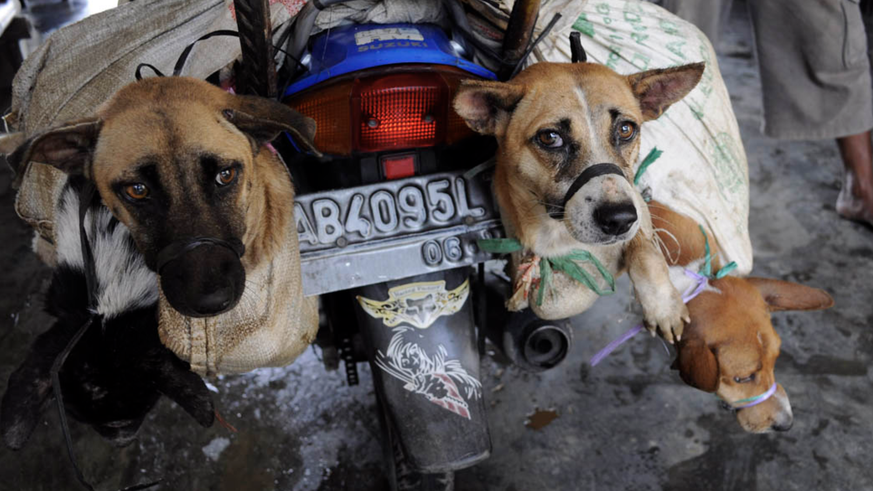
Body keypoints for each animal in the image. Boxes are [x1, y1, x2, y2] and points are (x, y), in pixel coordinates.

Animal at [454, 63, 704, 344]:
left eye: (626, 129)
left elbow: (646, 254)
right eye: (550, 137)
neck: (555, 231)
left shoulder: (636, 206)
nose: (620, 219)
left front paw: (663, 308)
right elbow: (548, 303)